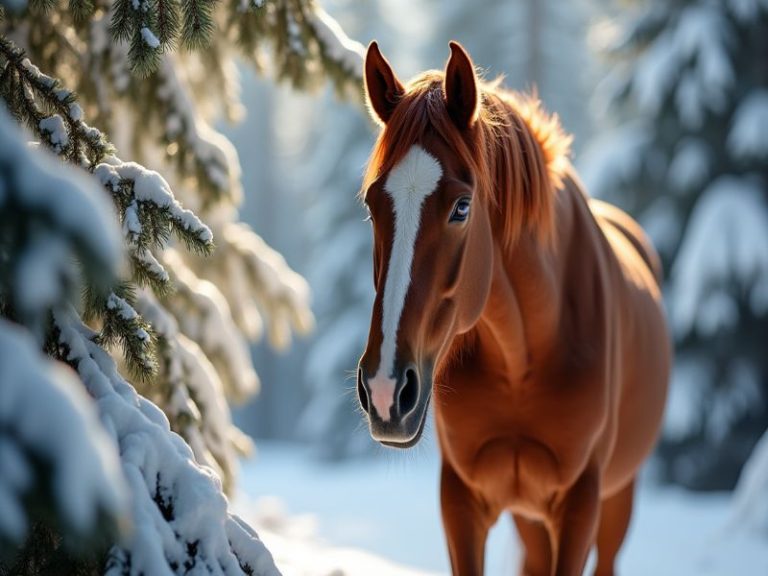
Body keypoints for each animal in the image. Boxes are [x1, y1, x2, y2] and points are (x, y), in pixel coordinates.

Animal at [354, 41, 670, 576]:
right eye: (374, 205)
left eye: (462, 206)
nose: (384, 389)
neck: (522, 358)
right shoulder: (461, 500)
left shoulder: (580, 505)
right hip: (530, 518)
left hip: (616, 499)